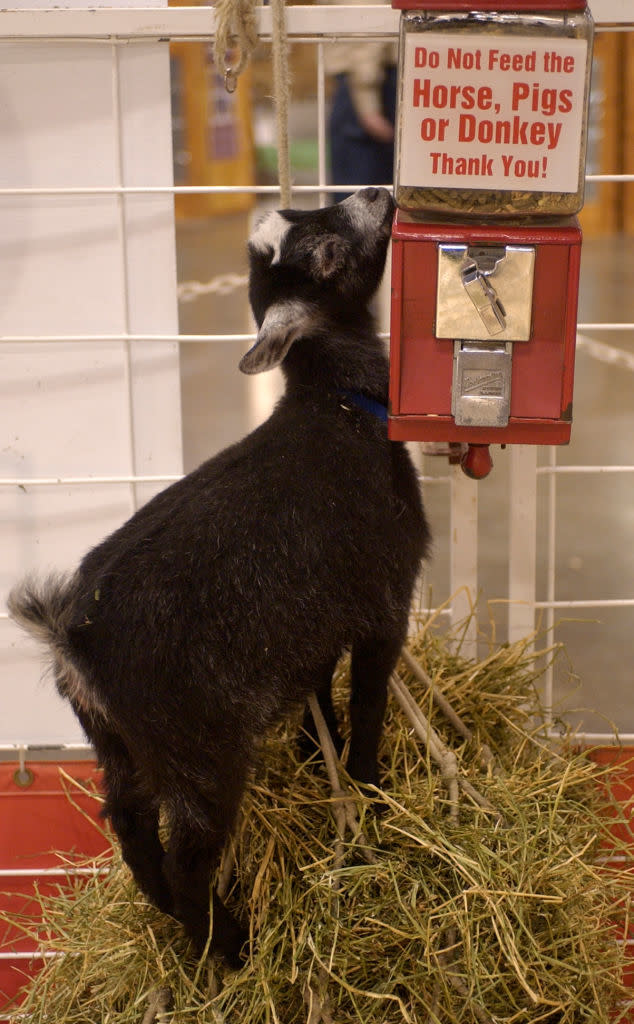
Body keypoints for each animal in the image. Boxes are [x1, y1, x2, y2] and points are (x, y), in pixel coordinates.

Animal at [7, 186, 432, 966]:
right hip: (200, 754)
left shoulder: (309, 628)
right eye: (327, 250)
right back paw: (228, 944)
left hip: (117, 741)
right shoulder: (384, 602)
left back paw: (169, 916)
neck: (340, 406)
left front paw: (314, 761)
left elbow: (318, 699)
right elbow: (366, 705)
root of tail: (74, 639)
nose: (378, 193)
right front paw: (369, 790)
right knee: (188, 856)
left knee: (130, 826)